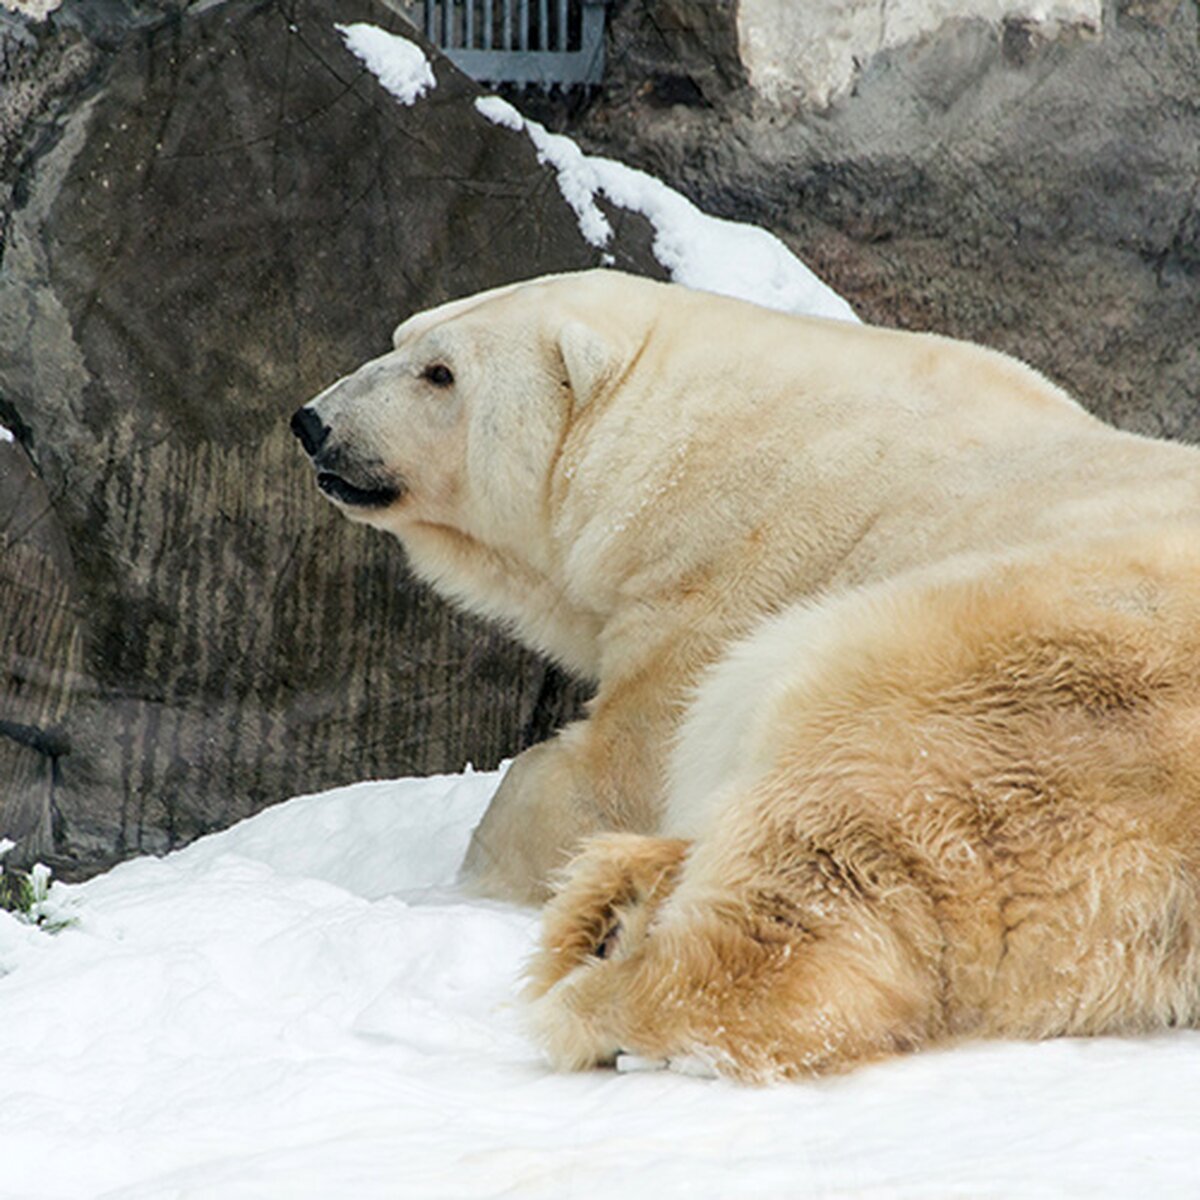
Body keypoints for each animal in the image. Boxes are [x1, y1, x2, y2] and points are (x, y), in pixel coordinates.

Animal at [295, 270, 1200, 1080]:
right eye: (404, 336)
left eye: (440, 372)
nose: (312, 422)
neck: (682, 449)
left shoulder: (728, 579)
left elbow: (608, 773)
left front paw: (468, 875)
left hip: (1003, 679)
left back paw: (606, 973)